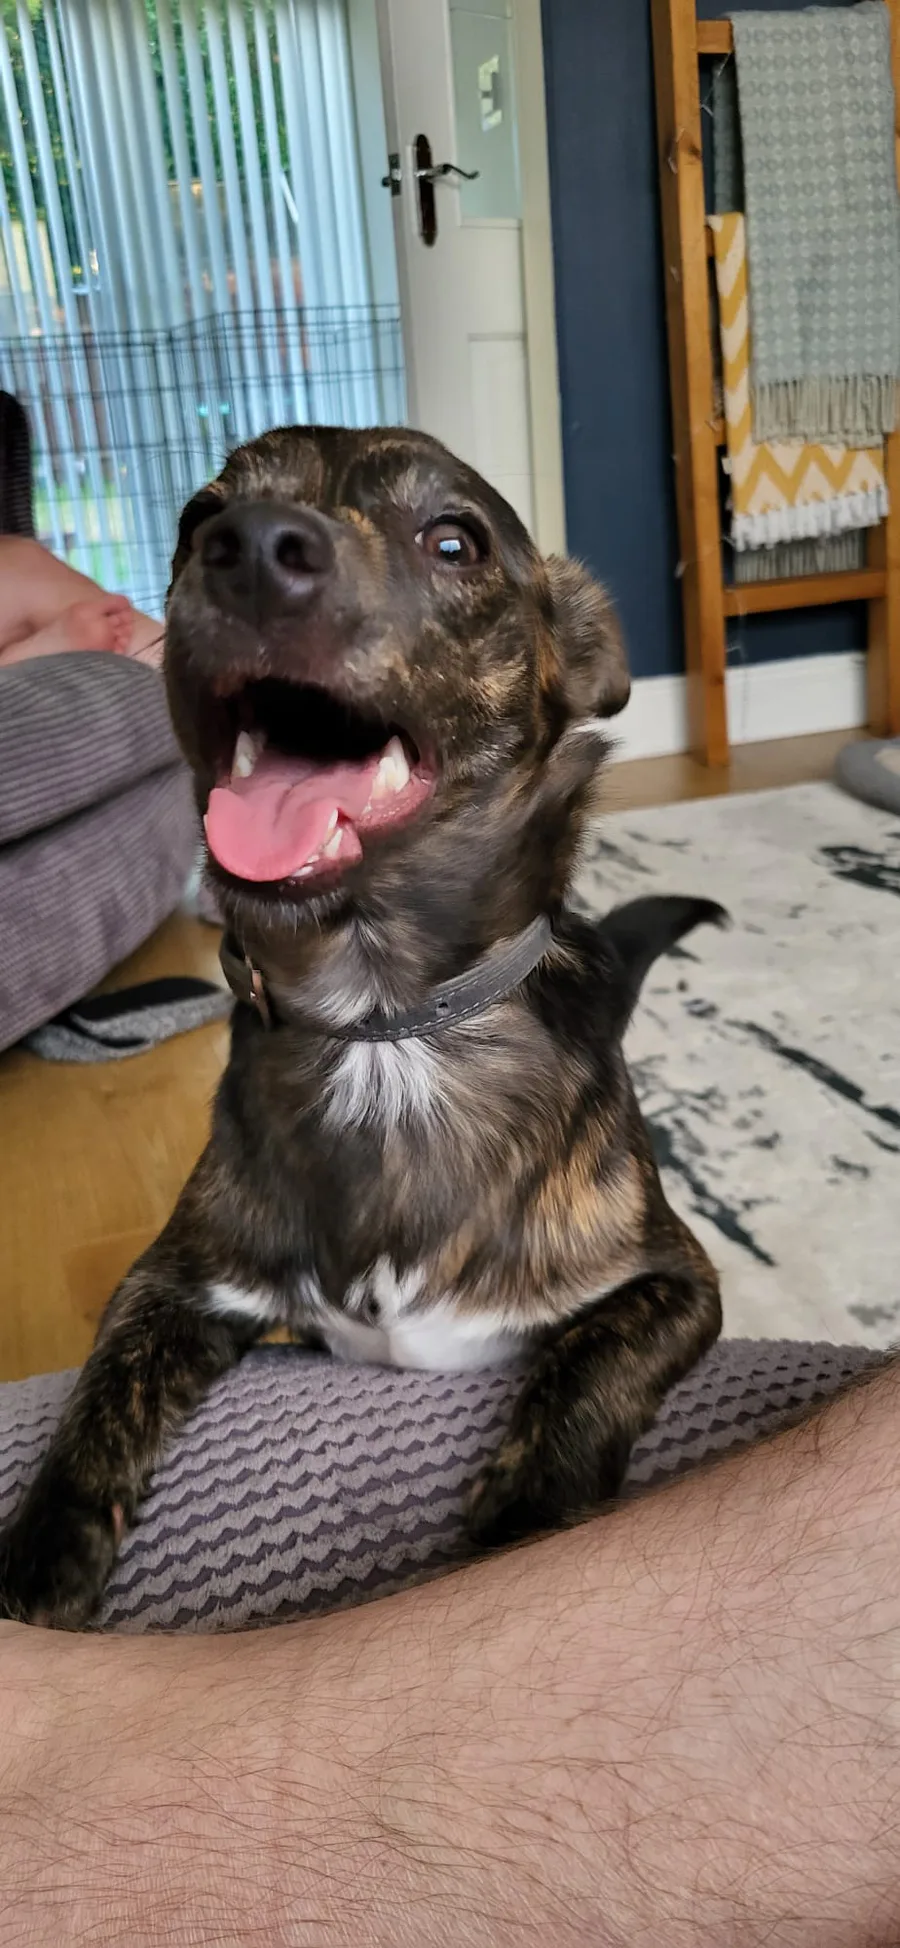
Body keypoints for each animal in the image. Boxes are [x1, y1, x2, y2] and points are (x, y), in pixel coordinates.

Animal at [0, 425, 724, 1627]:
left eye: (454, 541)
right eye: (200, 517)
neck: (388, 1030)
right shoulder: (172, 1285)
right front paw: (40, 1561)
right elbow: (103, 1394)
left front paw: (528, 1513)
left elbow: (588, 1366)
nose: (247, 550)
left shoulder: (674, 1283)